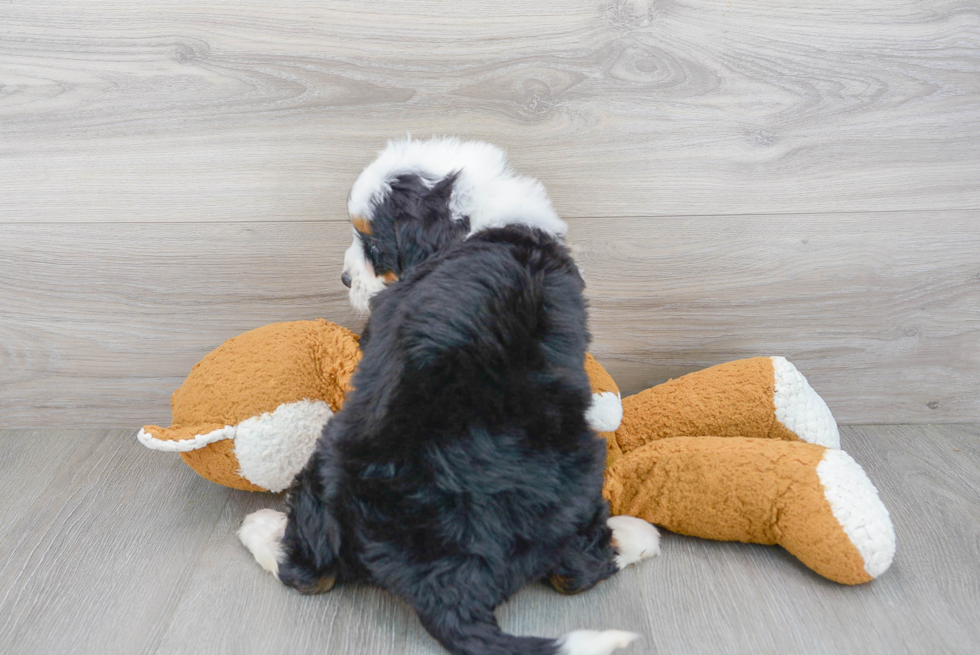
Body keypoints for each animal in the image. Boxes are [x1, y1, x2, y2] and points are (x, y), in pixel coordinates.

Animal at [239, 138, 660, 655]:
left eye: (373, 245)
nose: (344, 279)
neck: (482, 222)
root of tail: (444, 578)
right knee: (577, 569)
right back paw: (636, 536)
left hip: (327, 458)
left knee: (307, 571)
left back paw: (262, 530)